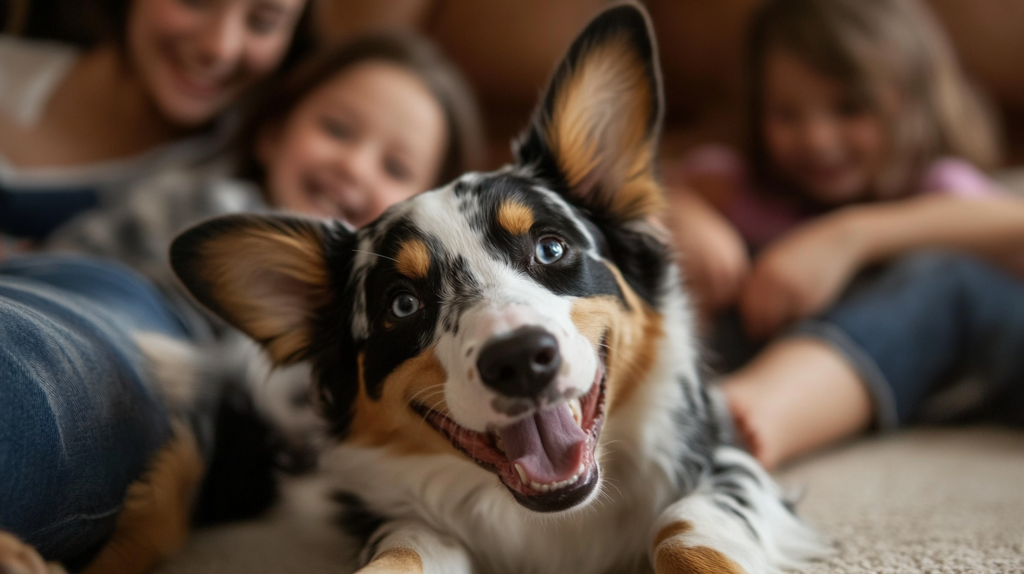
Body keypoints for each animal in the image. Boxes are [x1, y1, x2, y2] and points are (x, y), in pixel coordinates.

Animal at [167, 2, 831, 568]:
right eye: (402, 304)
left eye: (551, 247)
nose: (519, 361)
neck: (556, 526)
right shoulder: (399, 520)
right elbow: (402, 554)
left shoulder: (729, 468)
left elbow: (684, 532)